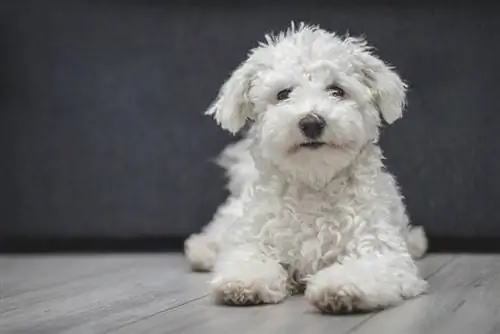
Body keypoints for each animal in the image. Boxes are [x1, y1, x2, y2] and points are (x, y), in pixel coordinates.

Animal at [186, 23, 428, 314]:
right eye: (283, 94)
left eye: (337, 90)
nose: (311, 122)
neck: (314, 183)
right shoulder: (255, 239)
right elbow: (247, 259)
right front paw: (244, 284)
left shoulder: (381, 250)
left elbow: (367, 268)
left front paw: (340, 287)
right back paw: (201, 250)